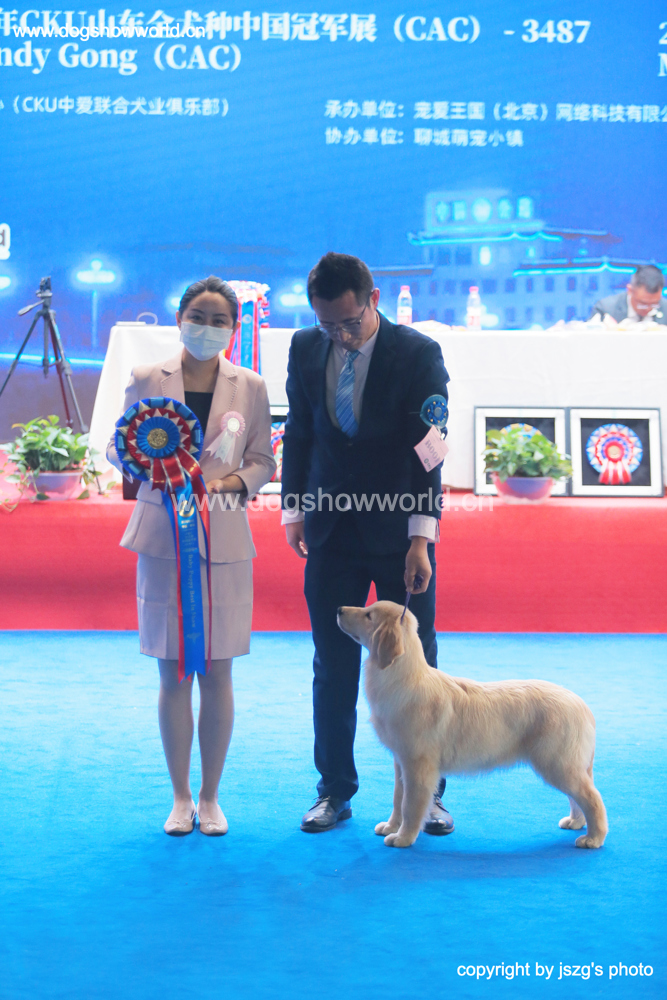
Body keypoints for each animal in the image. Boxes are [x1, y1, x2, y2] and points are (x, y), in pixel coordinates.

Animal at [337, 601, 608, 849]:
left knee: (593, 798)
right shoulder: (400, 760)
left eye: (368, 615)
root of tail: (583, 706)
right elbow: (397, 797)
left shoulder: (418, 764)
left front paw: (403, 838)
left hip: (558, 764)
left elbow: (410, 804)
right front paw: (391, 826)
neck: (403, 679)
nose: (339, 609)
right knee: (579, 798)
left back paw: (593, 838)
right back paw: (575, 822)